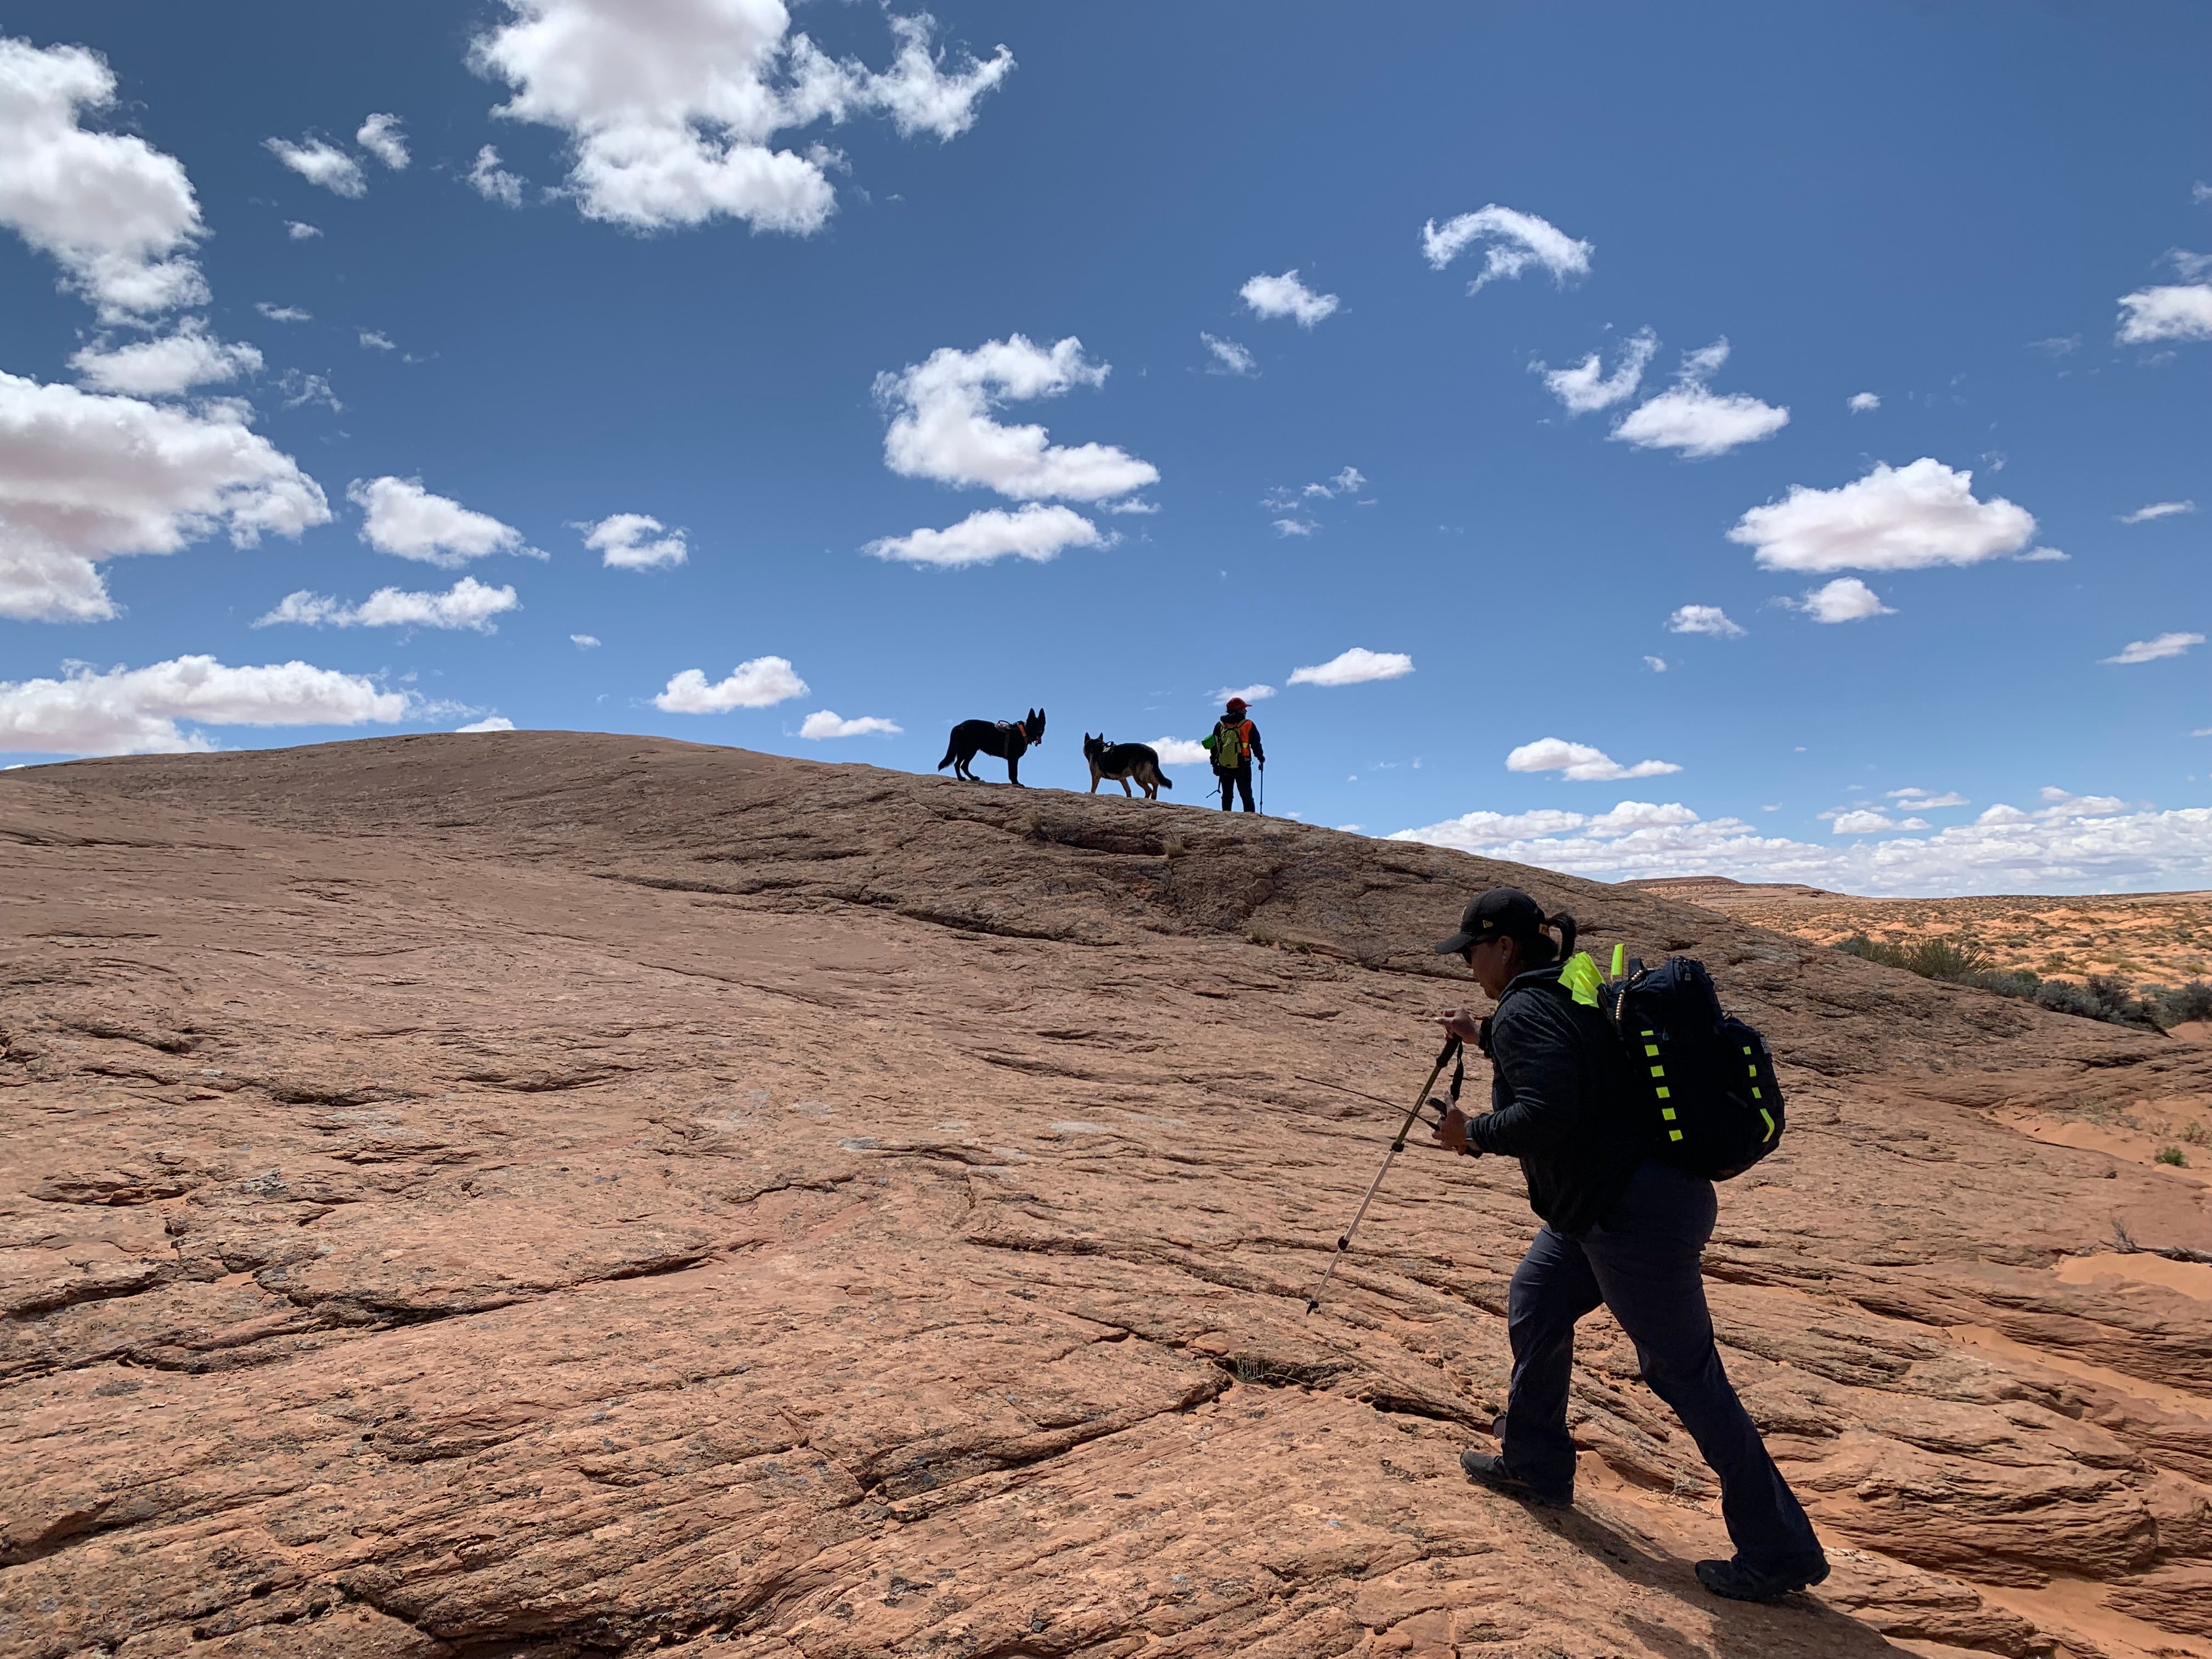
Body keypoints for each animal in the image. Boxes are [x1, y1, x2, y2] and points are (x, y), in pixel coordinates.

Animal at [929, 708, 1040, 787]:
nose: (1040, 732)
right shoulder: (1013, 759)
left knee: (963, 766)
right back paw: (961, 778)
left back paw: (973, 778)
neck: (1022, 731)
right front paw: (1016, 783)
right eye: (1034, 725)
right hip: (968, 751)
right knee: (958, 764)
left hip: (971, 751)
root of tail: (958, 726)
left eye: (1041, 725)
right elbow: (1014, 773)